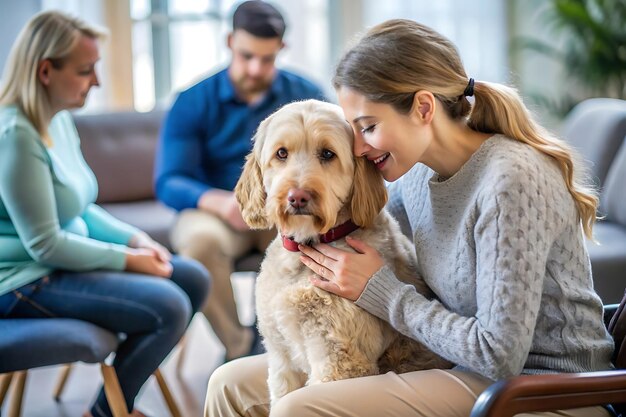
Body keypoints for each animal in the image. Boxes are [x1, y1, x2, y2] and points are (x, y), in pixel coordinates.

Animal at [235, 99, 448, 404]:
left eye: (327, 153)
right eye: (281, 153)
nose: (297, 197)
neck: (306, 251)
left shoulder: (339, 362)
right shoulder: (281, 360)